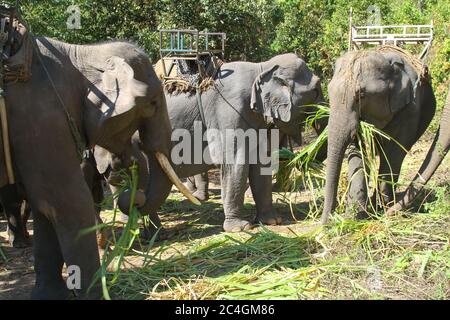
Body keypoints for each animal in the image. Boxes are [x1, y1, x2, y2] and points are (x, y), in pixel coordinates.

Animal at [1, 15, 195, 300]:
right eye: (153, 103)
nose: (135, 197)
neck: (77, 53)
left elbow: (45, 206)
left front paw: (49, 295)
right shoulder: (39, 118)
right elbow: (68, 201)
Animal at [322, 47, 438, 225]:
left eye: (361, 95)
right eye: (329, 92)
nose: (326, 224)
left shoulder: (410, 108)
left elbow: (394, 151)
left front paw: (377, 211)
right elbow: (358, 150)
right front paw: (355, 216)